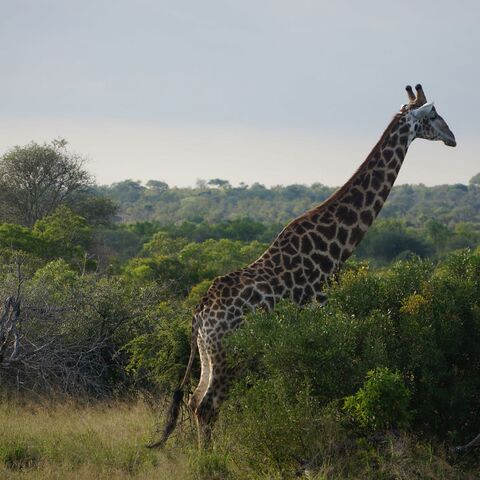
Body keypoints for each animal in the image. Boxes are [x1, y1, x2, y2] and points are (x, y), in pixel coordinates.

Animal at [152, 84, 456, 448]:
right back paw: (209, 459)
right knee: (207, 406)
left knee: (195, 399)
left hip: (208, 353)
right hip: (230, 355)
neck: (332, 251)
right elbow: (318, 394)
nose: (453, 137)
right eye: (434, 115)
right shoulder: (320, 319)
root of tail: (199, 315)